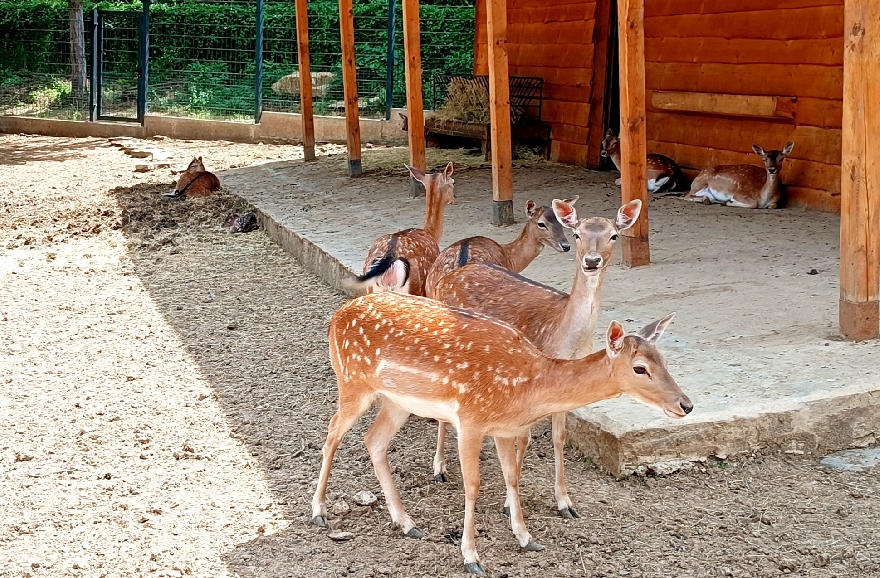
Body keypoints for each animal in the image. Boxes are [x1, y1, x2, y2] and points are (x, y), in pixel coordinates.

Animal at [312, 290, 692, 572]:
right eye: (640, 368)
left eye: (665, 360)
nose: (686, 404)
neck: (527, 387)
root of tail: (337, 316)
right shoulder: (471, 418)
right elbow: (473, 485)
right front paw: (471, 557)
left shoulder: (505, 429)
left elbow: (512, 476)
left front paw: (527, 538)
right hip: (352, 380)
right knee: (331, 434)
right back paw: (319, 513)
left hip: (397, 401)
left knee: (373, 440)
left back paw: (408, 523)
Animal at [342, 163, 458, 294]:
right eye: (453, 182)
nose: (454, 198)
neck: (430, 233)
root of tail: (389, 261)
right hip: (413, 287)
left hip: (372, 288)